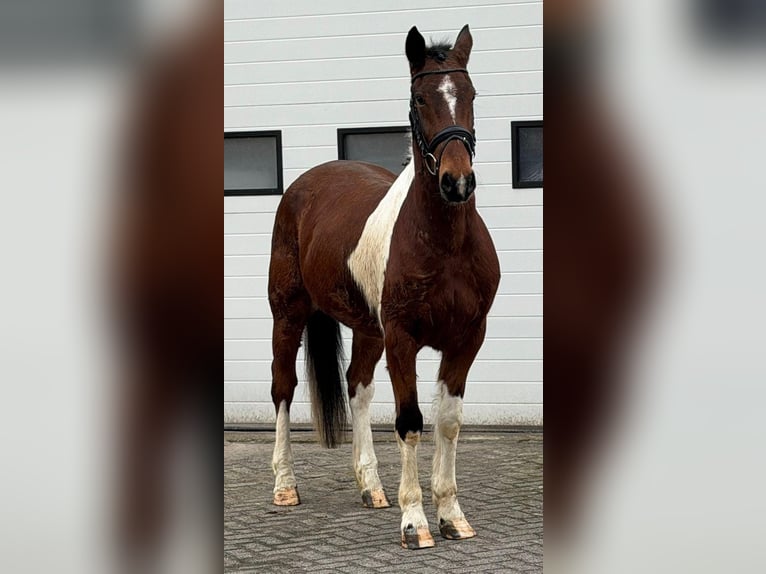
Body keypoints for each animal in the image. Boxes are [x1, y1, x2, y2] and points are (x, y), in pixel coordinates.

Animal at [268, 25, 500, 550]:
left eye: (471, 94)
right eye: (420, 98)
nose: (458, 183)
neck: (443, 243)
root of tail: (303, 187)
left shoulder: (466, 340)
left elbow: (448, 423)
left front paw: (451, 515)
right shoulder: (402, 339)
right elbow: (410, 422)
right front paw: (415, 522)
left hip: (367, 330)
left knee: (357, 387)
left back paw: (371, 487)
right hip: (288, 315)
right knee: (283, 388)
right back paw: (285, 486)